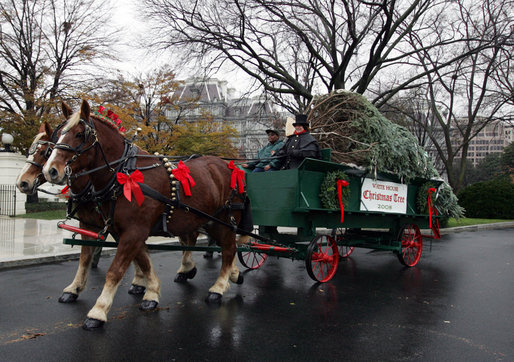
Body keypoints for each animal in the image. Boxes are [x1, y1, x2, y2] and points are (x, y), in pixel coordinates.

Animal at [15, 109, 148, 302]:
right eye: (30, 152)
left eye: (46, 152)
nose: (22, 183)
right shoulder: (89, 222)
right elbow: (85, 256)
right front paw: (74, 287)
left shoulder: (122, 224)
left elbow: (136, 252)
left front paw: (140, 281)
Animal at [43, 100, 247, 330]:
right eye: (58, 135)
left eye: (79, 134)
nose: (50, 170)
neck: (124, 174)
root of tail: (229, 165)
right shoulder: (122, 230)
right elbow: (139, 261)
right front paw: (151, 292)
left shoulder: (134, 231)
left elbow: (116, 270)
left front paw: (99, 310)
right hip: (207, 220)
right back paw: (227, 274)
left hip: (225, 221)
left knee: (229, 249)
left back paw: (218, 287)